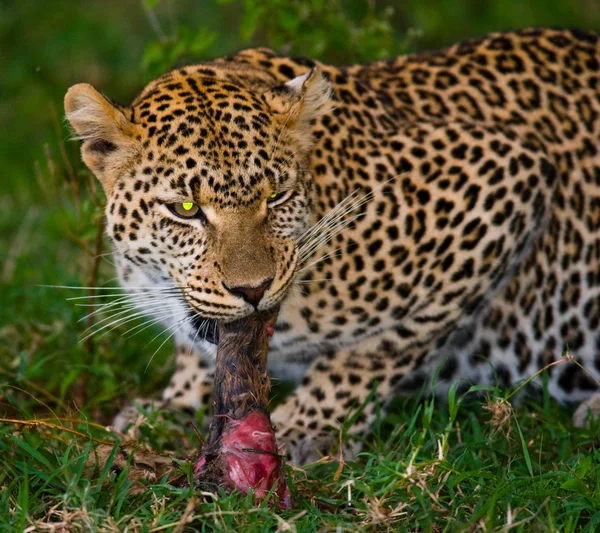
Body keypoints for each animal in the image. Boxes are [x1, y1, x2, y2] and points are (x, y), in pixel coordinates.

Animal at [62, 27, 600, 464]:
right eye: (186, 209)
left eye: (275, 197)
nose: (253, 290)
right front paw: (171, 406)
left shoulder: (506, 176)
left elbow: (379, 348)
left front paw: (306, 428)